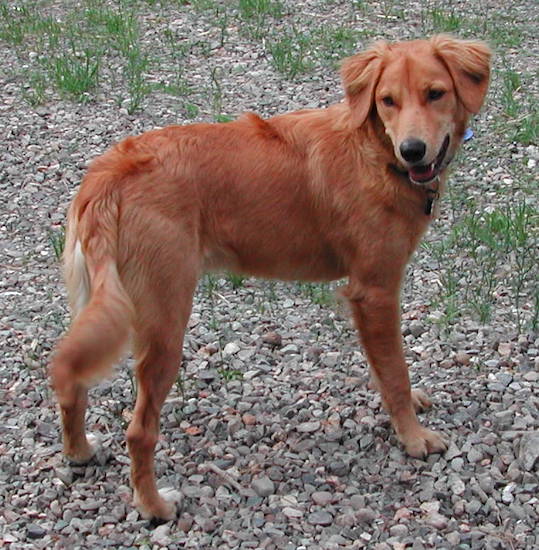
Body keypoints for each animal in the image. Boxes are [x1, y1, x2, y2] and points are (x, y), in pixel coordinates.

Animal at [51, 34, 494, 520]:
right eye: (387, 101)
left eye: (436, 93)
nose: (413, 150)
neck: (375, 150)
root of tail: (109, 174)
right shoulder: (375, 291)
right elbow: (394, 371)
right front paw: (413, 437)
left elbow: (386, 368)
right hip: (164, 322)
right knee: (139, 431)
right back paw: (154, 506)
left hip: (98, 305)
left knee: (70, 380)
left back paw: (78, 452)